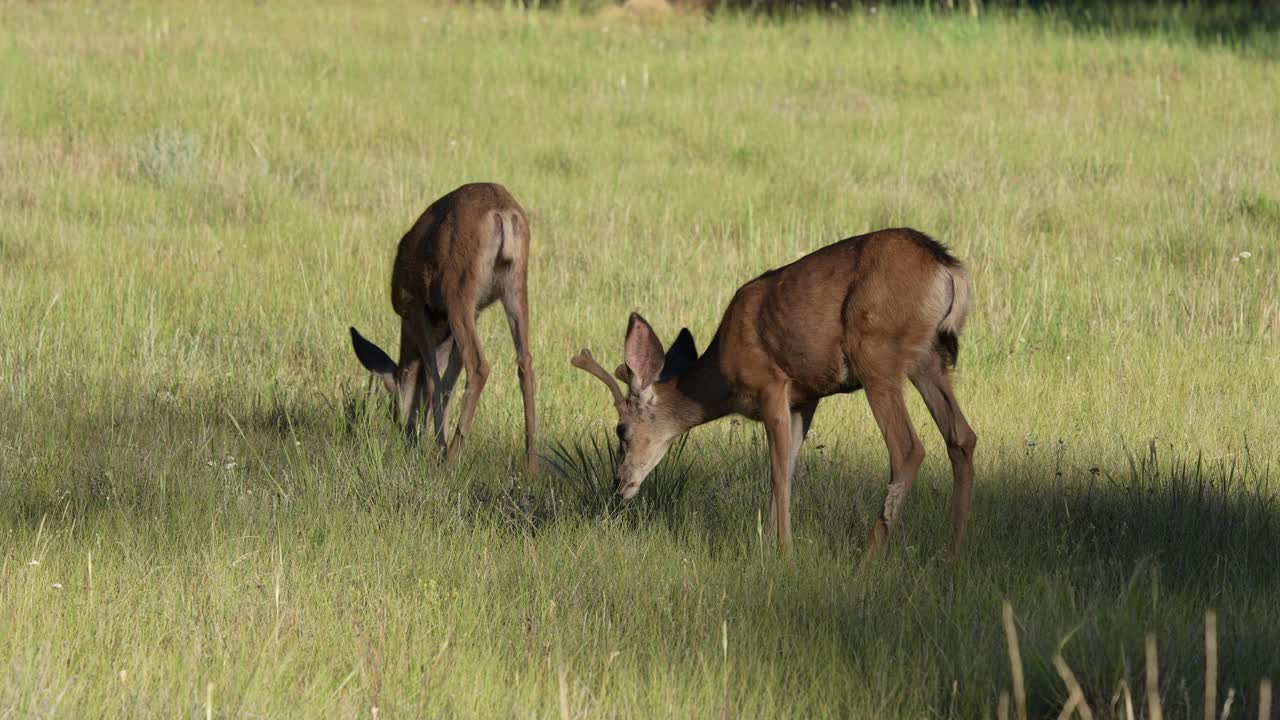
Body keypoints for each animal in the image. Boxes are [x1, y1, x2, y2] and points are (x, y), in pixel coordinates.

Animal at [348, 181, 537, 468]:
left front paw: (433, 443)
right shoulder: (469, 316)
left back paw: (453, 456)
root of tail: (502, 212)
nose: (404, 434)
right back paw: (532, 463)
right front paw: (436, 440)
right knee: (525, 361)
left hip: (458, 289)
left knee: (478, 365)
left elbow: (432, 375)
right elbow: (447, 380)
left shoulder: (414, 306)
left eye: (392, 409)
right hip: (514, 285)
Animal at [576, 228, 972, 556]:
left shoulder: (771, 384)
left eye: (622, 430)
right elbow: (791, 467)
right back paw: (950, 554)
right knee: (962, 437)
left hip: (876, 352)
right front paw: (768, 543)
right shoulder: (806, 398)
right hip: (929, 359)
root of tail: (946, 267)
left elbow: (777, 472)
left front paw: (784, 551)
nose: (619, 483)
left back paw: (868, 559)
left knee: (908, 448)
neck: (721, 377)